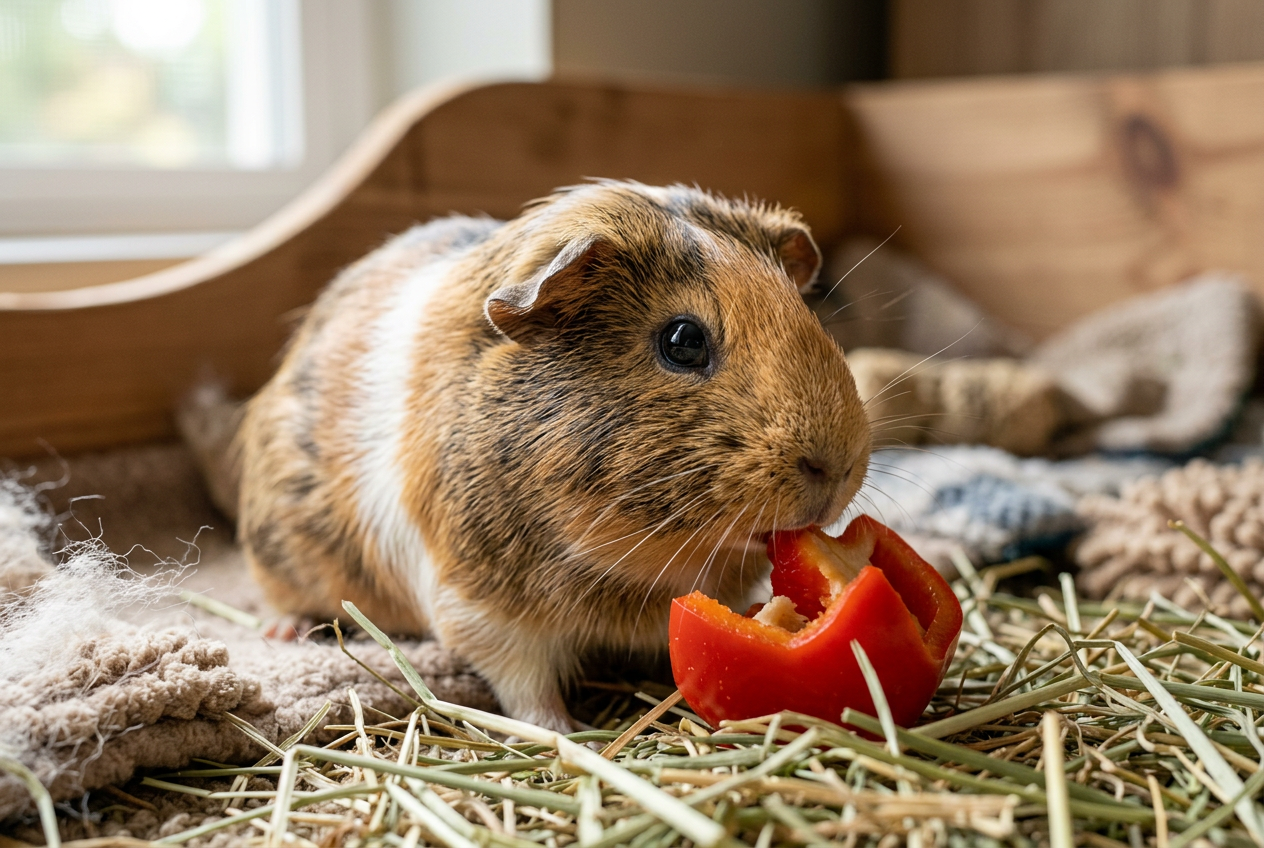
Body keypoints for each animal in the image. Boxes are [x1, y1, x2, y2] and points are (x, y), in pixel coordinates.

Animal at [236, 180, 872, 732]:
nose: (836, 467)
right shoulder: (479, 607)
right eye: (683, 340)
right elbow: (526, 687)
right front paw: (565, 732)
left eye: (806, 314)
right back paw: (283, 634)